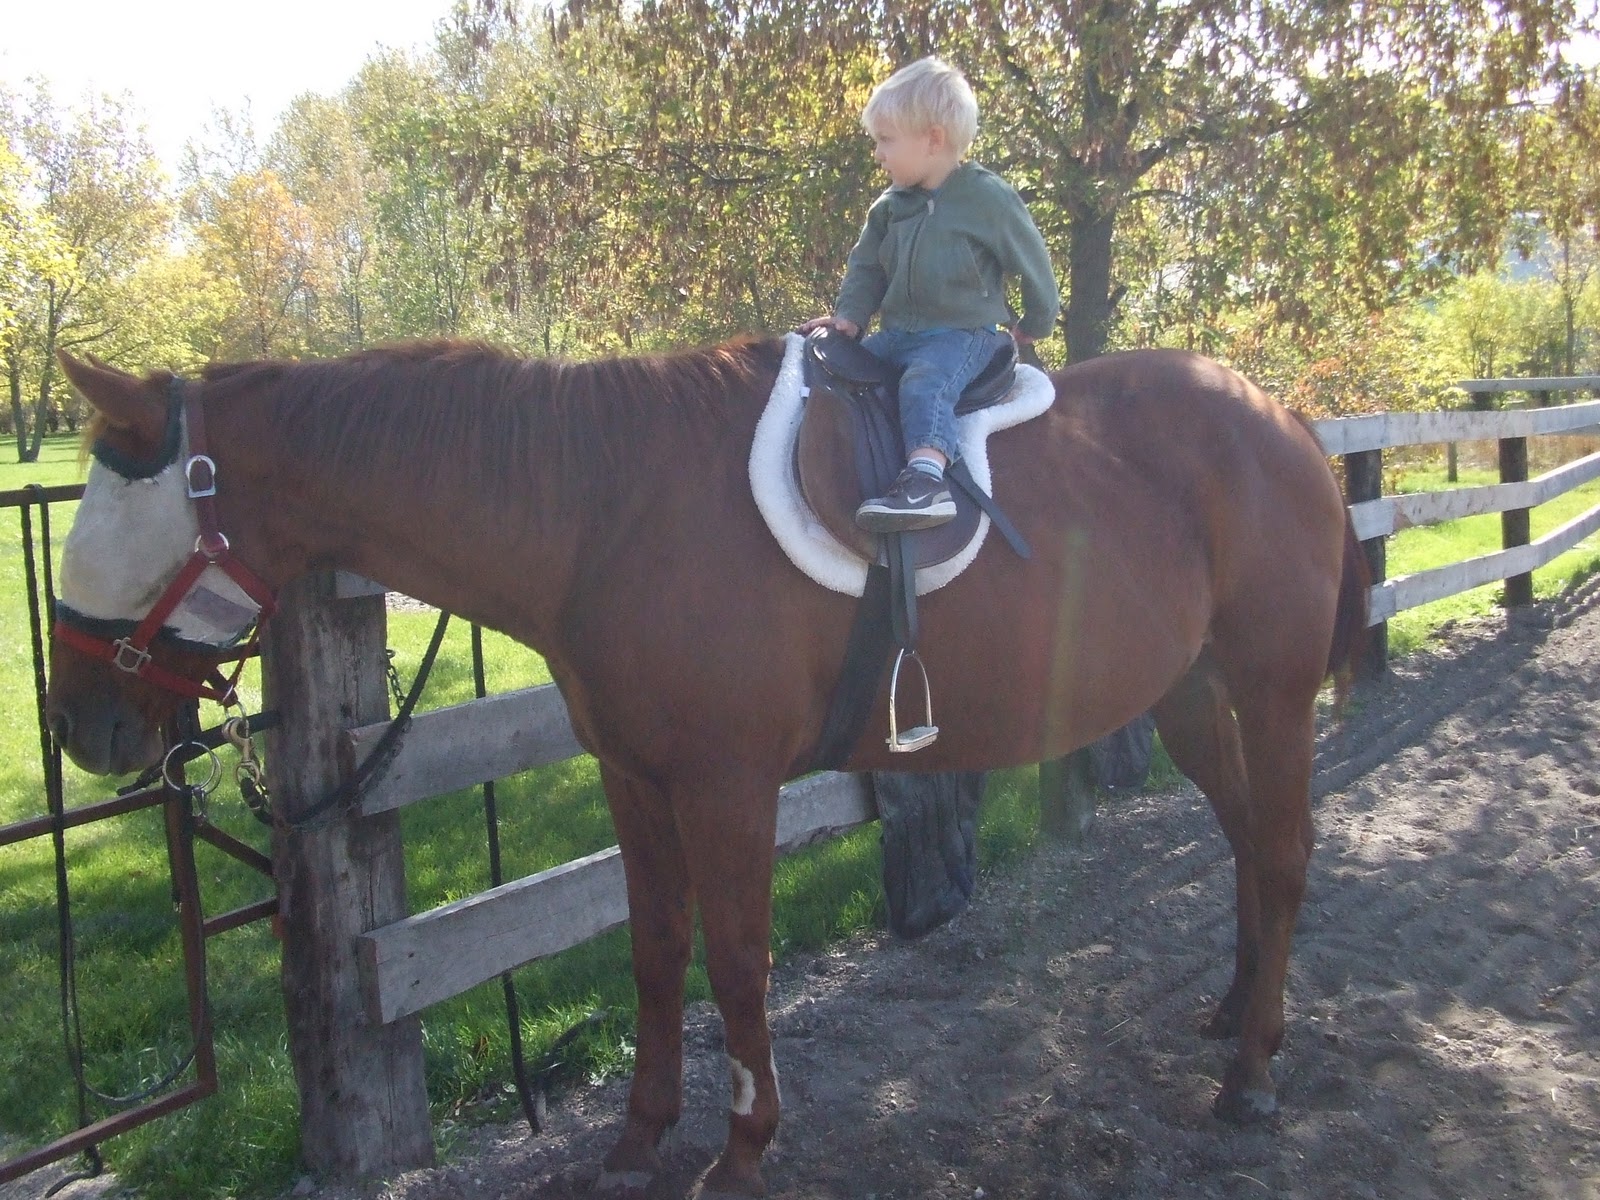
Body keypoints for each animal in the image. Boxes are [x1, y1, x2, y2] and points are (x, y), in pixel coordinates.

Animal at [46, 336, 1367, 1198]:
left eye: (110, 526)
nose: (78, 729)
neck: (598, 507)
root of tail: (1283, 418)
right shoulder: (636, 781)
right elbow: (653, 952)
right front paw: (638, 1139)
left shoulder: (727, 787)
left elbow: (735, 962)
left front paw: (740, 1148)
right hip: (1190, 694)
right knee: (1245, 843)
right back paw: (1237, 1013)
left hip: (1270, 690)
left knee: (1284, 851)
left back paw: (1253, 1070)